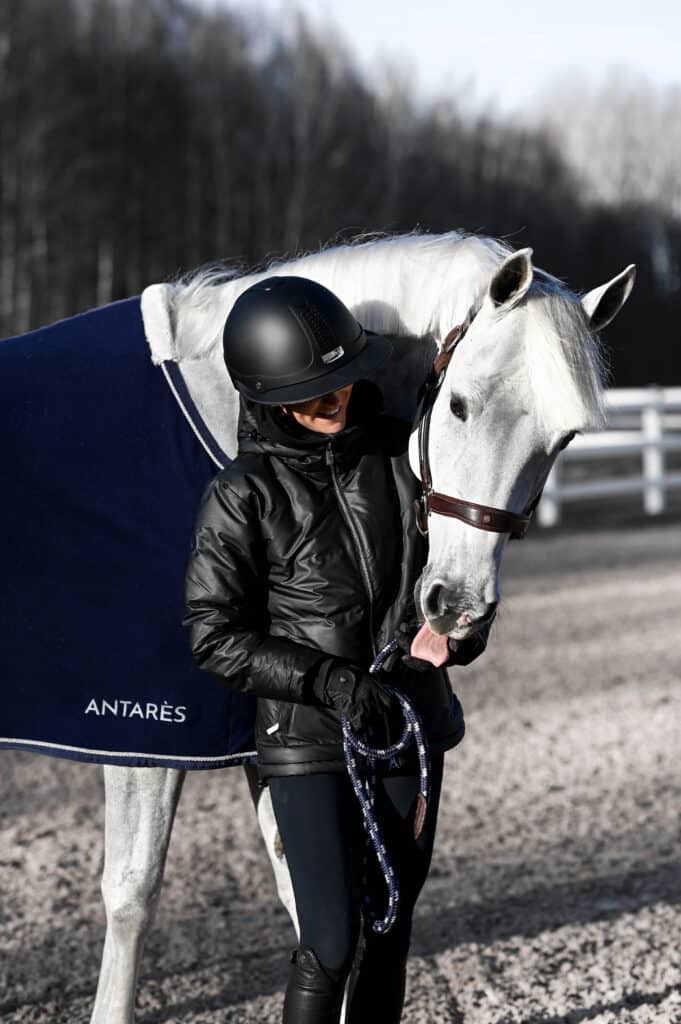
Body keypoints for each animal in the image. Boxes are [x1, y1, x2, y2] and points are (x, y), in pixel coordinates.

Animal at [18, 228, 639, 1019]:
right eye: (458, 406)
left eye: (562, 439)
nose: (457, 612)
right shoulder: (142, 734)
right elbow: (132, 892)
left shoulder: (263, 735)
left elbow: (313, 899)